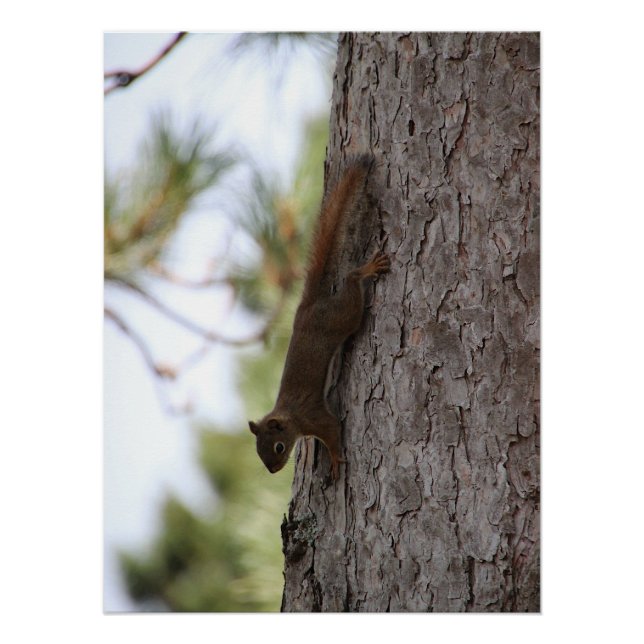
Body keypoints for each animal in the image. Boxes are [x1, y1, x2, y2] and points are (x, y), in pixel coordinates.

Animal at [248, 155, 390, 480]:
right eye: (259, 452)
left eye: (278, 447)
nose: (272, 471)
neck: (291, 417)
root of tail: (307, 307)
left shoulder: (314, 417)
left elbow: (333, 430)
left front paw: (336, 459)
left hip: (343, 316)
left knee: (352, 281)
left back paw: (366, 270)